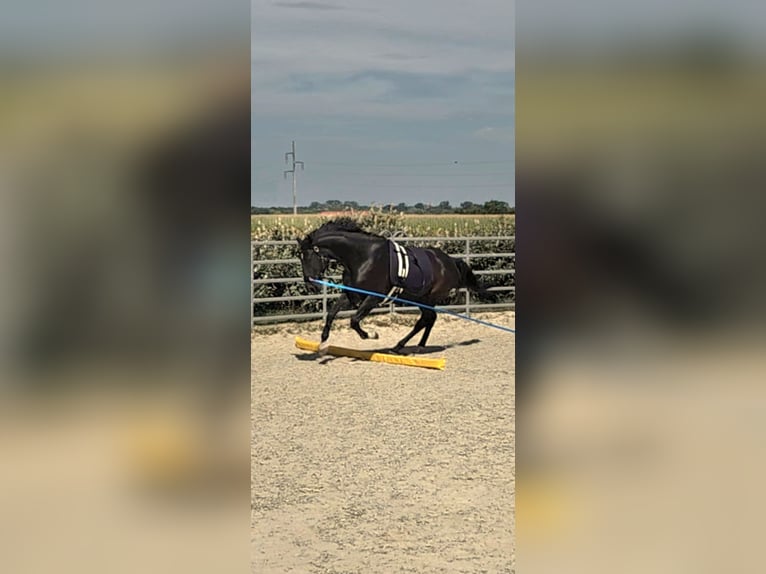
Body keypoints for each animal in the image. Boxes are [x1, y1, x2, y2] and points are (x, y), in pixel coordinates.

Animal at [297, 217, 493, 354]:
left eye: (307, 256)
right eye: (300, 257)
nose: (310, 284)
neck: (362, 256)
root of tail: (451, 262)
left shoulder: (372, 298)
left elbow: (354, 321)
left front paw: (371, 335)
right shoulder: (352, 294)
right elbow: (331, 314)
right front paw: (322, 344)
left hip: (428, 299)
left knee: (426, 319)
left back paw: (404, 346)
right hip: (420, 299)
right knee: (429, 319)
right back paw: (412, 346)